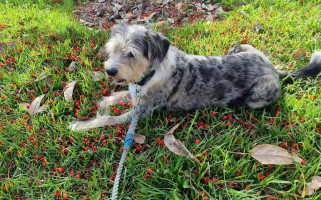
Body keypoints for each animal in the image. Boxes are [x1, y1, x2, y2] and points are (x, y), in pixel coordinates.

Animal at [69, 23, 320, 131]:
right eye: (112, 50)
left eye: (131, 54)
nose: (110, 71)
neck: (149, 75)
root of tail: (273, 69)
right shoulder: (135, 94)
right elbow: (119, 94)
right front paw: (104, 102)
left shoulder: (141, 113)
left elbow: (108, 119)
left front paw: (80, 125)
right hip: (241, 46)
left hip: (261, 92)